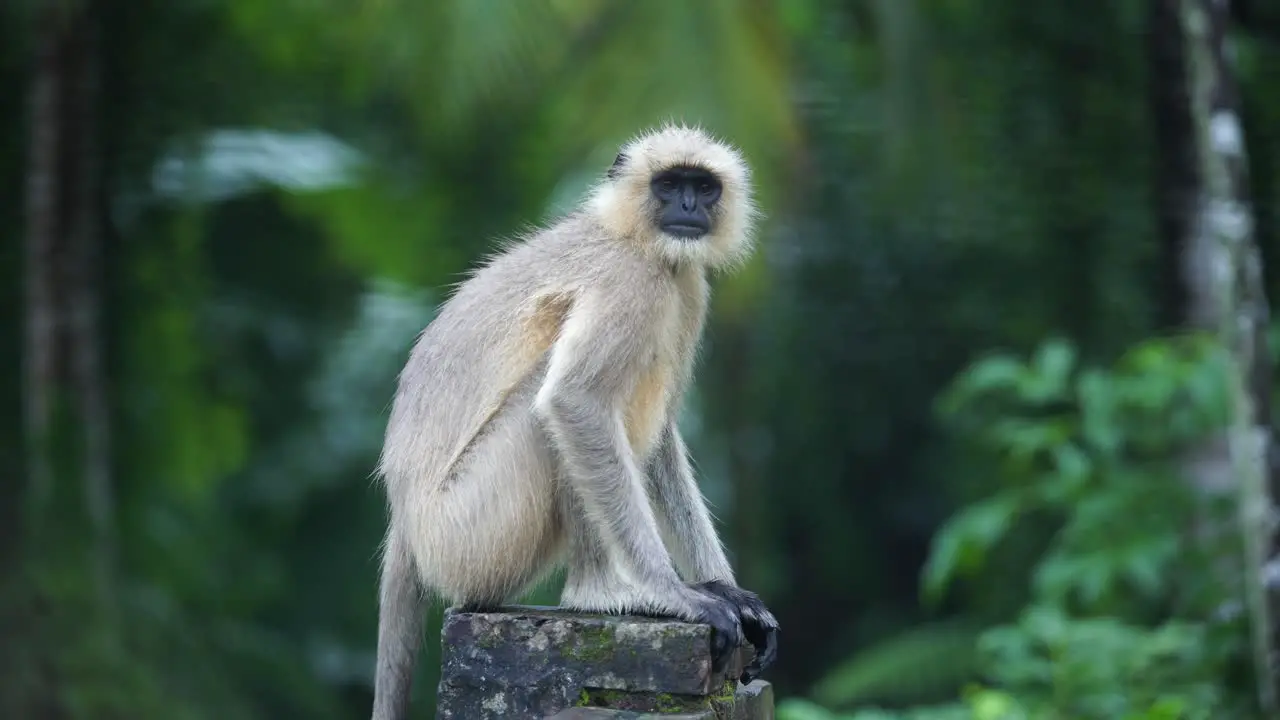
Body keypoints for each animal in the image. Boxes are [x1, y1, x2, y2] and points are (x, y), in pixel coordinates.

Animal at [371, 122, 778, 717]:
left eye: (703, 188)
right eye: (669, 184)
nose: (686, 206)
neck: (634, 239)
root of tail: (405, 523)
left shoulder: (686, 286)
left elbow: (659, 438)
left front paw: (723, 588)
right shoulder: (634, 281)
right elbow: (574, 402)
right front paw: (676, 595)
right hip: (467, 534)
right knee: (550, 407)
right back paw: (603, 592)